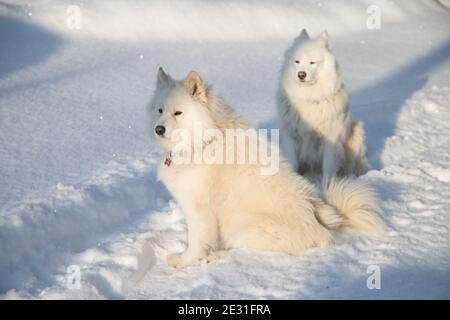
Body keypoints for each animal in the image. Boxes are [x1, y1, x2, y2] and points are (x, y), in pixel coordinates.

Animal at [149, 67, 384, 268]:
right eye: (160, 110)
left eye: (178, 113)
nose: (158, 129)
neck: (203, 141)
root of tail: (321, 225)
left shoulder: (199, 209)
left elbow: (197, 241)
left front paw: (183, 261)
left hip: (244, 227)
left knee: (241, 250)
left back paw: (216, 256)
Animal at [278, 28, 372, 179]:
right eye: (297, 61)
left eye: (312, 62)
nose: (301, 74)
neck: (308, 98)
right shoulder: (290, 137)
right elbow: (293, 165)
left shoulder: (331, 140)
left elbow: (328, 170)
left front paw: (329, 185)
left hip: (356, 131)